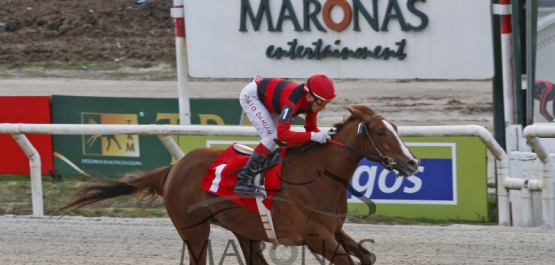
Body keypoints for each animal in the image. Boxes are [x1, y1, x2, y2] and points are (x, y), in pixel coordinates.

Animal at [57, 105, 422, 264]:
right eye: (381, 132)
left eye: (396, 128)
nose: (412, 163)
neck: (318, 177)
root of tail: (174, 168)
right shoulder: (317, 237)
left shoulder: (333, 230)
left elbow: (367, 257)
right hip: (194, 230)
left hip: (244, 229)